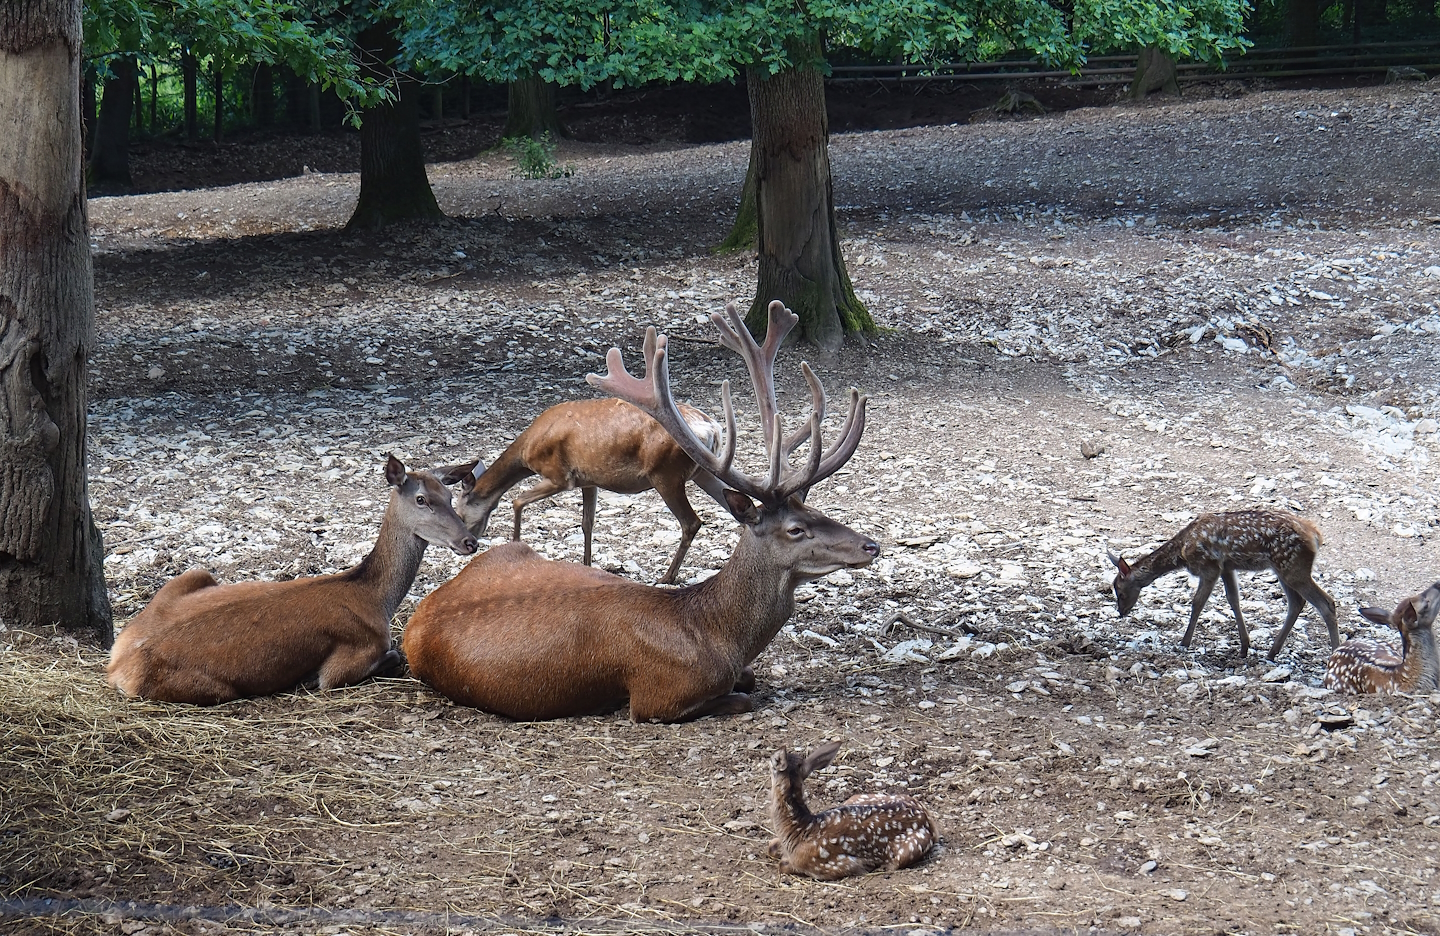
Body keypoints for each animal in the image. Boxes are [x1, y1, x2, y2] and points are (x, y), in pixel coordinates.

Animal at [107, 456, 479, 705]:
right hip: (214, 689)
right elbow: (391, 658)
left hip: (193, 574)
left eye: (450, 498)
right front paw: (309, 678)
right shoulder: (348, 660)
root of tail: (118, 665)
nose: (469, 542)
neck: (375, 598)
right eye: (421, 500)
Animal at [452, 397, 729, 584]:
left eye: (460, 513)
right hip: (702, 472)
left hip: (666, 473)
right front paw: (586, 565)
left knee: (691, 521)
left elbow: (517, 501)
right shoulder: (588, 481)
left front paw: (517, 549)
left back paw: (667, 576)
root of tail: (712, 429)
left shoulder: (559, 475)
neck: (526, 452)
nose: (467, 544)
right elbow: (587, 523)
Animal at [767, 741, 938, 880]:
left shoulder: (835, 865)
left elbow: (782, 865)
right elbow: (771, 846)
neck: (799, 831)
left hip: (910, 848)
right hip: (857, 797)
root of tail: (927, 818)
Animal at [1108, 509, 1338, 660]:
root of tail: (1315, 536)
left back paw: (1334, 653)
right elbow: (1233, 600)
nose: (1120, 611)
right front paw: (1244, 647)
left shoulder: (1209, 566)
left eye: (1119, 590)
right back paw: (1272, 652)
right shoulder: (1227, 567)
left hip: (1293, 567)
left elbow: (1197, 603)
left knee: (1326, 603)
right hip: (1283, 569)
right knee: (1297, 603)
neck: (1181, 552)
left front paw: (1184, 643)